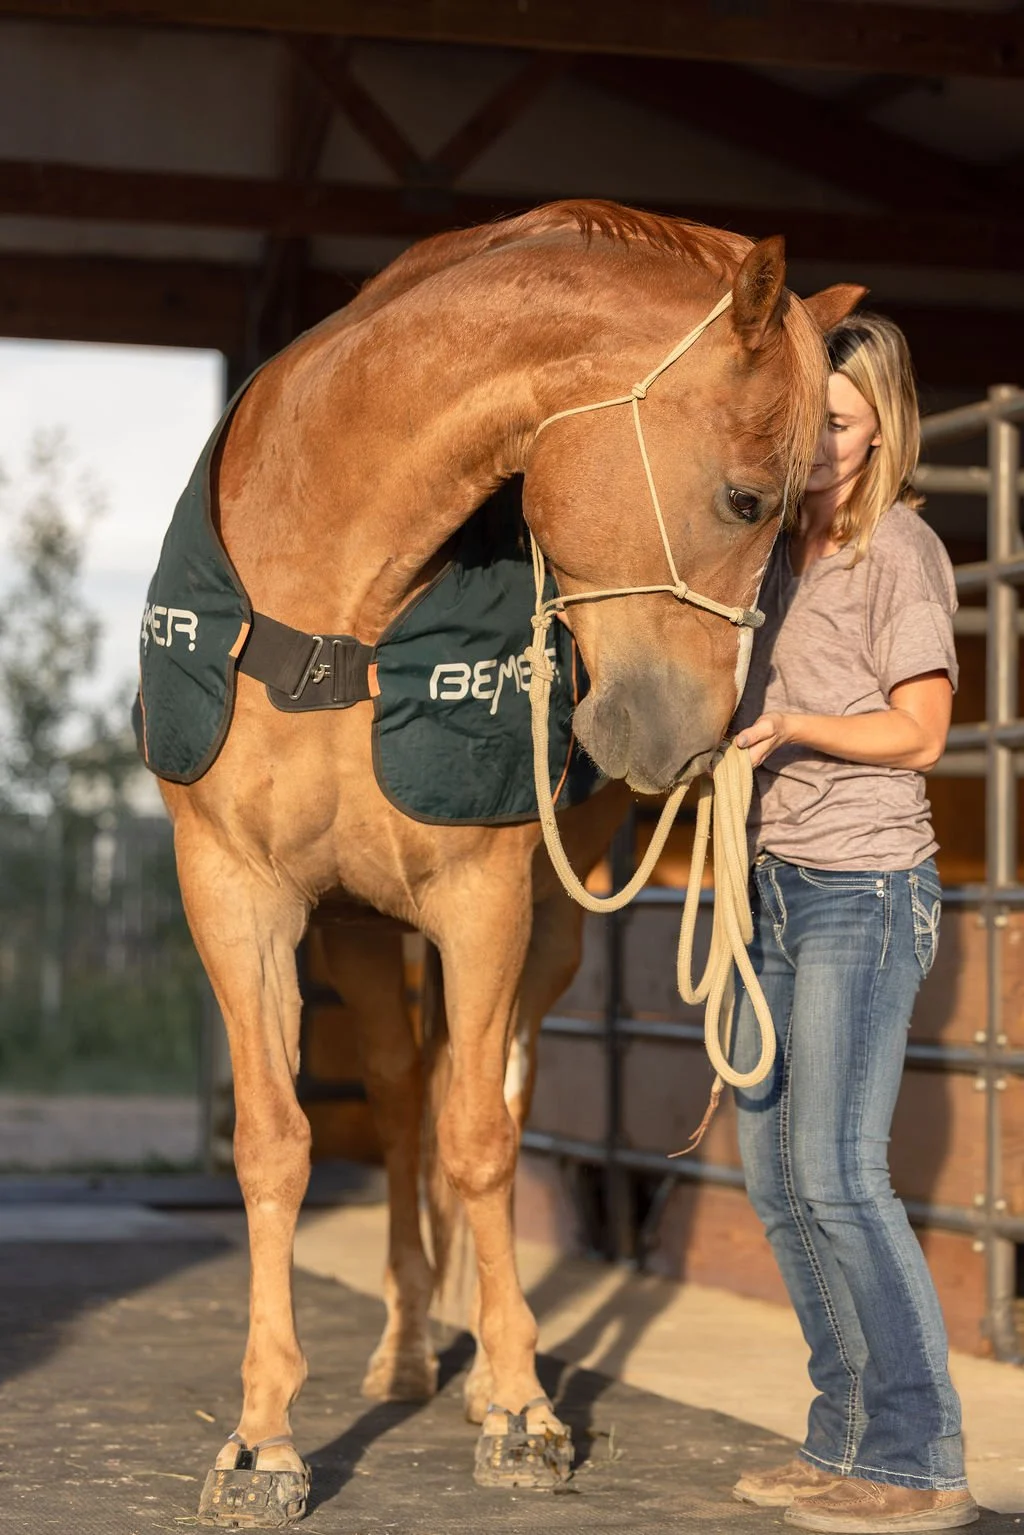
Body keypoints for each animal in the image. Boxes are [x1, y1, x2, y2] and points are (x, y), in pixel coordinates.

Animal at [158, 199, 861, 1524]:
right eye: (747, 500)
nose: (689, 741)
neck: (336, 605)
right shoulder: (236, 891)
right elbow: (278, 1141)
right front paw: (262, 1437)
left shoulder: (480, 900)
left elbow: (481, 1136)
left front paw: (525, 1409)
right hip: (361, 929)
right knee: (398, 1097)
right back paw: (403, 1348)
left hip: (548, 927)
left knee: (495, 1096)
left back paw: (489, 1370)